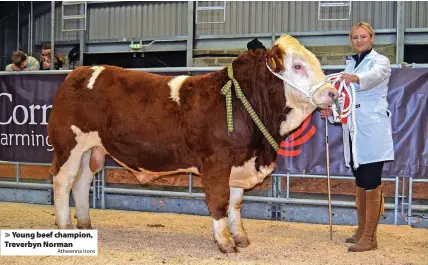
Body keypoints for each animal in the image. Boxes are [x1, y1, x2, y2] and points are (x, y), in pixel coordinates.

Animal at [47, 35, 338, 252]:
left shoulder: (239, 163)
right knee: (63, 180)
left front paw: (240, 237)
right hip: (68, 145)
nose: (333, 93)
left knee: (81, 183)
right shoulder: (216, 163)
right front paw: (225, 242)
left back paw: (85, 224)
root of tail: (80, 72)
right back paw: (65, 226)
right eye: (297, 66)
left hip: (92, 150)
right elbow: (219, 201)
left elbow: (235, 204)